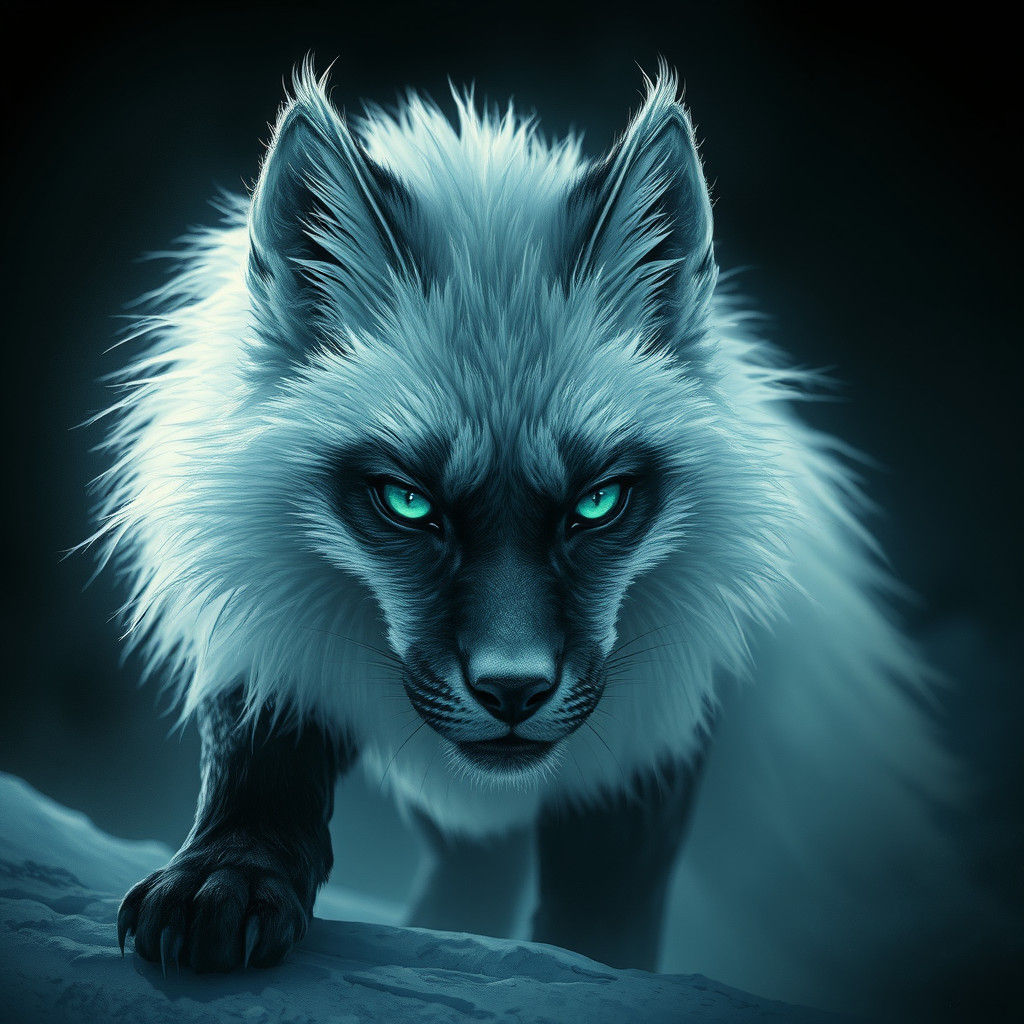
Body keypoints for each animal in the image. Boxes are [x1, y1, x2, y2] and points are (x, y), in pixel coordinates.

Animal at [89, 61, 962, 1009]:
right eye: (407, 504)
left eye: (598, 503)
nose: (514, 693)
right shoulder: (264, 625)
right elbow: (257, 771)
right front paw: (226, 880)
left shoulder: (656, 734)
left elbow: (603, 908)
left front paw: (589, 973)